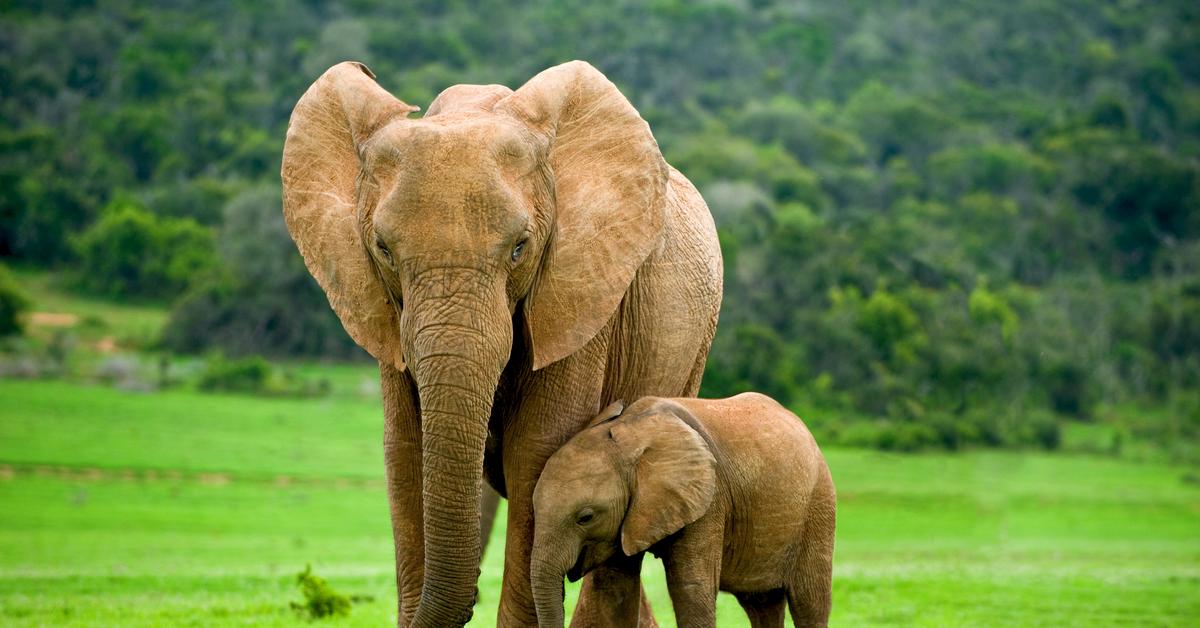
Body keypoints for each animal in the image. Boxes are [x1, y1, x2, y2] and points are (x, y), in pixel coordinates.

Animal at [280, 60, 720, 628]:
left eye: (519, 248)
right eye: (383, 249)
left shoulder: (579, 292)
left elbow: (537, 452)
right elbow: (405, 451)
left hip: (695, 346)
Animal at [532, 396, 835, 624]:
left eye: (586, 518)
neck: (630, 433)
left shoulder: (709, 500)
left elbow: (691, 589)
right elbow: (616, 588)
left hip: (819, 504)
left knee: (810, 601)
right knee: (761, 602)